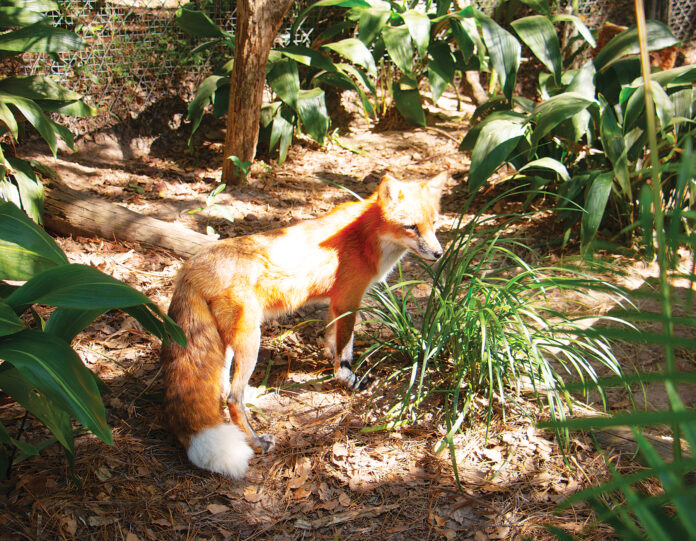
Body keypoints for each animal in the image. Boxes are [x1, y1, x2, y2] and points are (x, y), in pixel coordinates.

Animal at [159, 173, 446, 476]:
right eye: (411, 227)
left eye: (434, 223)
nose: (439, 253)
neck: (365, 236)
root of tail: (189, 268)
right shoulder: (349, 301)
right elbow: (345, 350)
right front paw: (349, 380)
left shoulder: (335, 304)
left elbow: (333, 342)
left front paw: (333, 364)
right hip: (250, 340)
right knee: (232, 399)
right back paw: (256, 442)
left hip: (226, 344)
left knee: (223, 389)